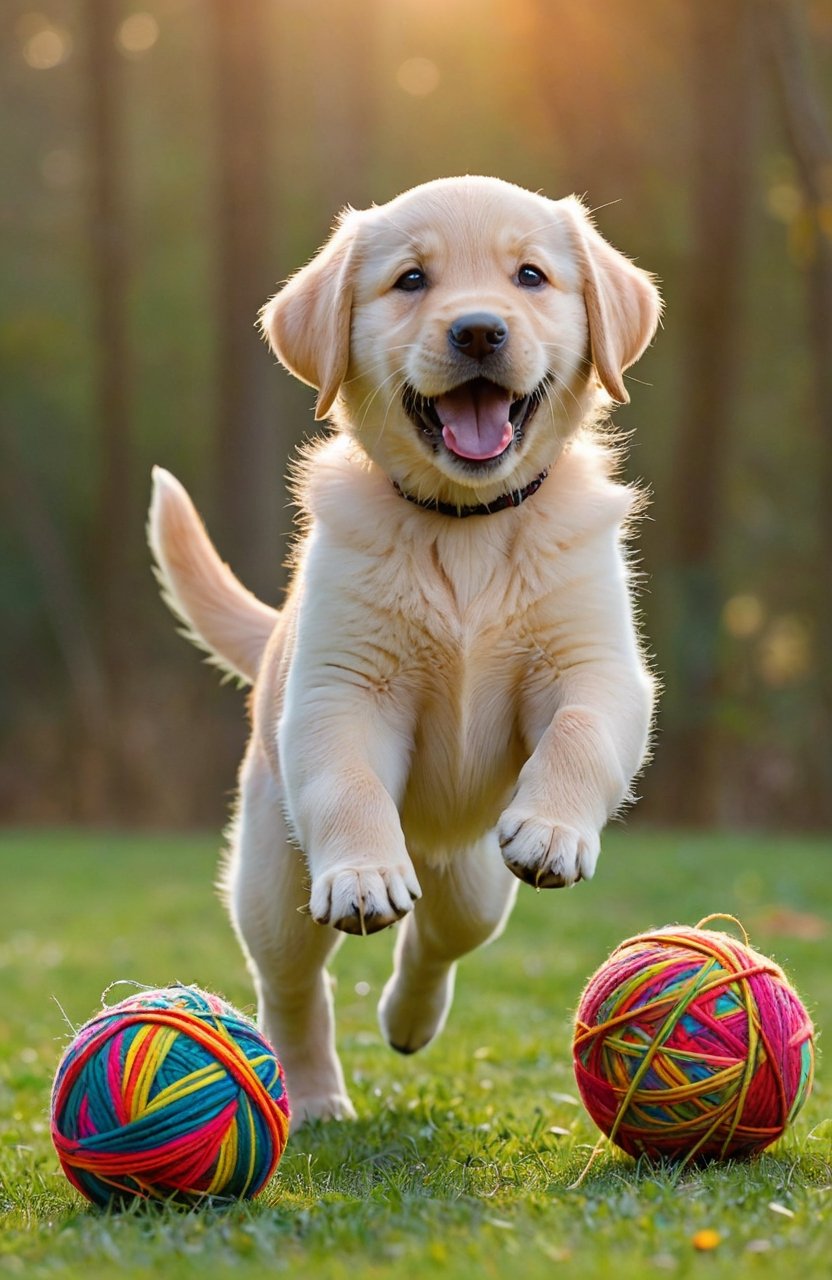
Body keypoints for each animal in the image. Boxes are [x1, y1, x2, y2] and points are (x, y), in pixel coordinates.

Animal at [145, 177, 655, 1121]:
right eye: (411, 280)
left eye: (531, 276)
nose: (479, 330)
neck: (466, 523)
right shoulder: (339, 689)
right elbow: (348, 783)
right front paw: (363, 877)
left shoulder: (597, 666)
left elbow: (581, 734)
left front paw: (555, 831)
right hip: (272, 872)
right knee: (292, 986)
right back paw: (313, 1095)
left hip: (476, 876)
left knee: (441, 938)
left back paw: (408, 1021)